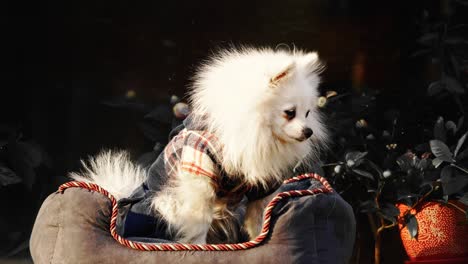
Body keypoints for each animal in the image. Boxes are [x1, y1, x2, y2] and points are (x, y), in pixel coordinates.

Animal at [71, 47, 328, 243]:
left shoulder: (259, 187)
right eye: (289, 113)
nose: (308, 131)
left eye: (307, 113)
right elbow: (198, 221)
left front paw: (258, 240)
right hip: (161, 205)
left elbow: (259, 217)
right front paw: (199, 246)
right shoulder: (199, 179)